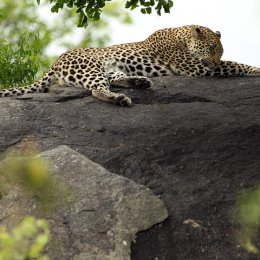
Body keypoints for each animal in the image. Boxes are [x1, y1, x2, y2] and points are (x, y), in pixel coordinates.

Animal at [0, 24, 260, 105]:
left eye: (219, 50)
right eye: (213, 48)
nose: (215, 59)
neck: (182, 35)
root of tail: (55, 63)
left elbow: (231, 63)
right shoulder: (197, 67)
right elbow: (234, 65)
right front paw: (256, 69)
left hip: (110, 68)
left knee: (114, 80)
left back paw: (139, 82)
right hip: (90, 68)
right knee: (97, 90)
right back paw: (119, 99)